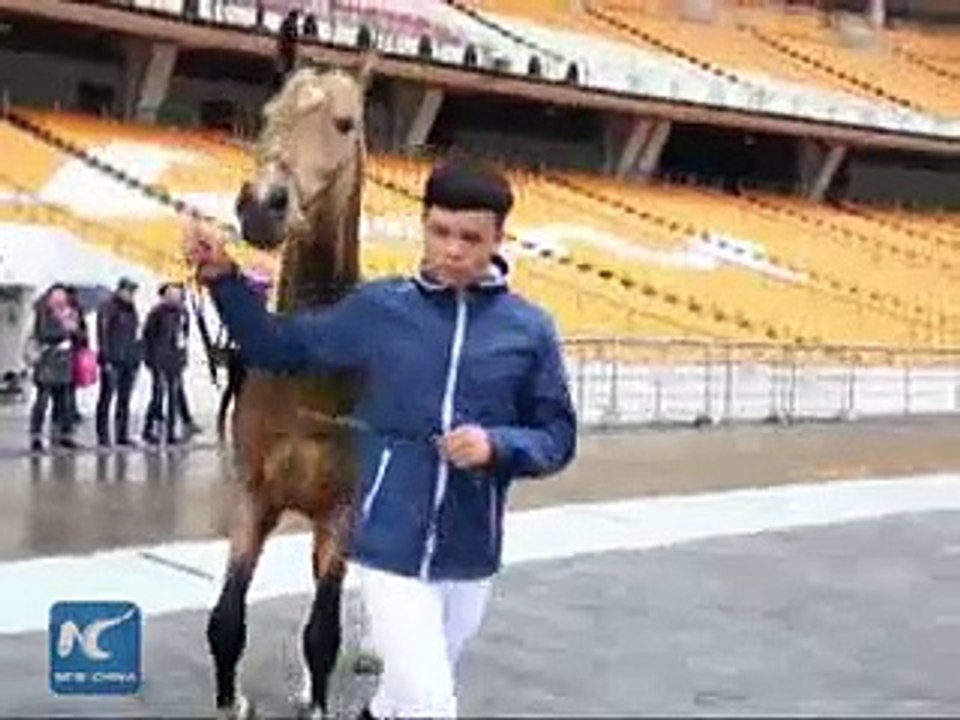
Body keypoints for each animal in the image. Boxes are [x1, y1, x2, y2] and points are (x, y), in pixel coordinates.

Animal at [205, 61, 373, 720]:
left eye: (344, 121)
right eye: (269, 111)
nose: (262, 205)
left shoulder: (343, 512)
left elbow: (323, 630)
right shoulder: (254, 496)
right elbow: (226, 622)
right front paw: (233, 701)